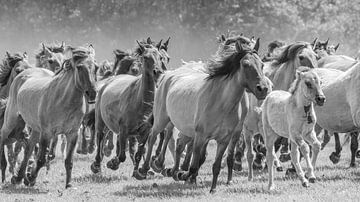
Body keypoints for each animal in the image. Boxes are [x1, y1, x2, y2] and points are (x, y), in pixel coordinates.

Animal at [0, 45, 97, 188]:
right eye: (79, 67)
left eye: (96, 67)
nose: (93, 93)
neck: (64, 101)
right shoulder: (47, 133)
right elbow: (41, 159)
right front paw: (31, 177)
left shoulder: (72, 134)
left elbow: (68, 160)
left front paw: (68, 184)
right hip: (11, 121)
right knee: (3, 137)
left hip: (35, 129)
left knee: (28, 148)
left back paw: (18, 177)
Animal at [90, 39, 165, 174]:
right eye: (145, 57)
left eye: (160, 57)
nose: (158, 72)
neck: (140, 102)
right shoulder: (123, 129)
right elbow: (121, 156)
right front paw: (112, 163)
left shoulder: (144, 132)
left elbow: (139, 153)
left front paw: (138, 172)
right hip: (101, 121)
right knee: (100, 136)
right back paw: (97, 164)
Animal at [135, 37, 270, 193]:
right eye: (245, 64)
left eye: (262, 64)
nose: (263, 89)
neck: (221, 102)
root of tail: (167, 75)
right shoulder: (200, 136)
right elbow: (194, 164)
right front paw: (183, 175)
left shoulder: (224, 139)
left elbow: (215, 164)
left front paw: (213, 188)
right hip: (162, 119)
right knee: (153, 137)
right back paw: (145, 169)